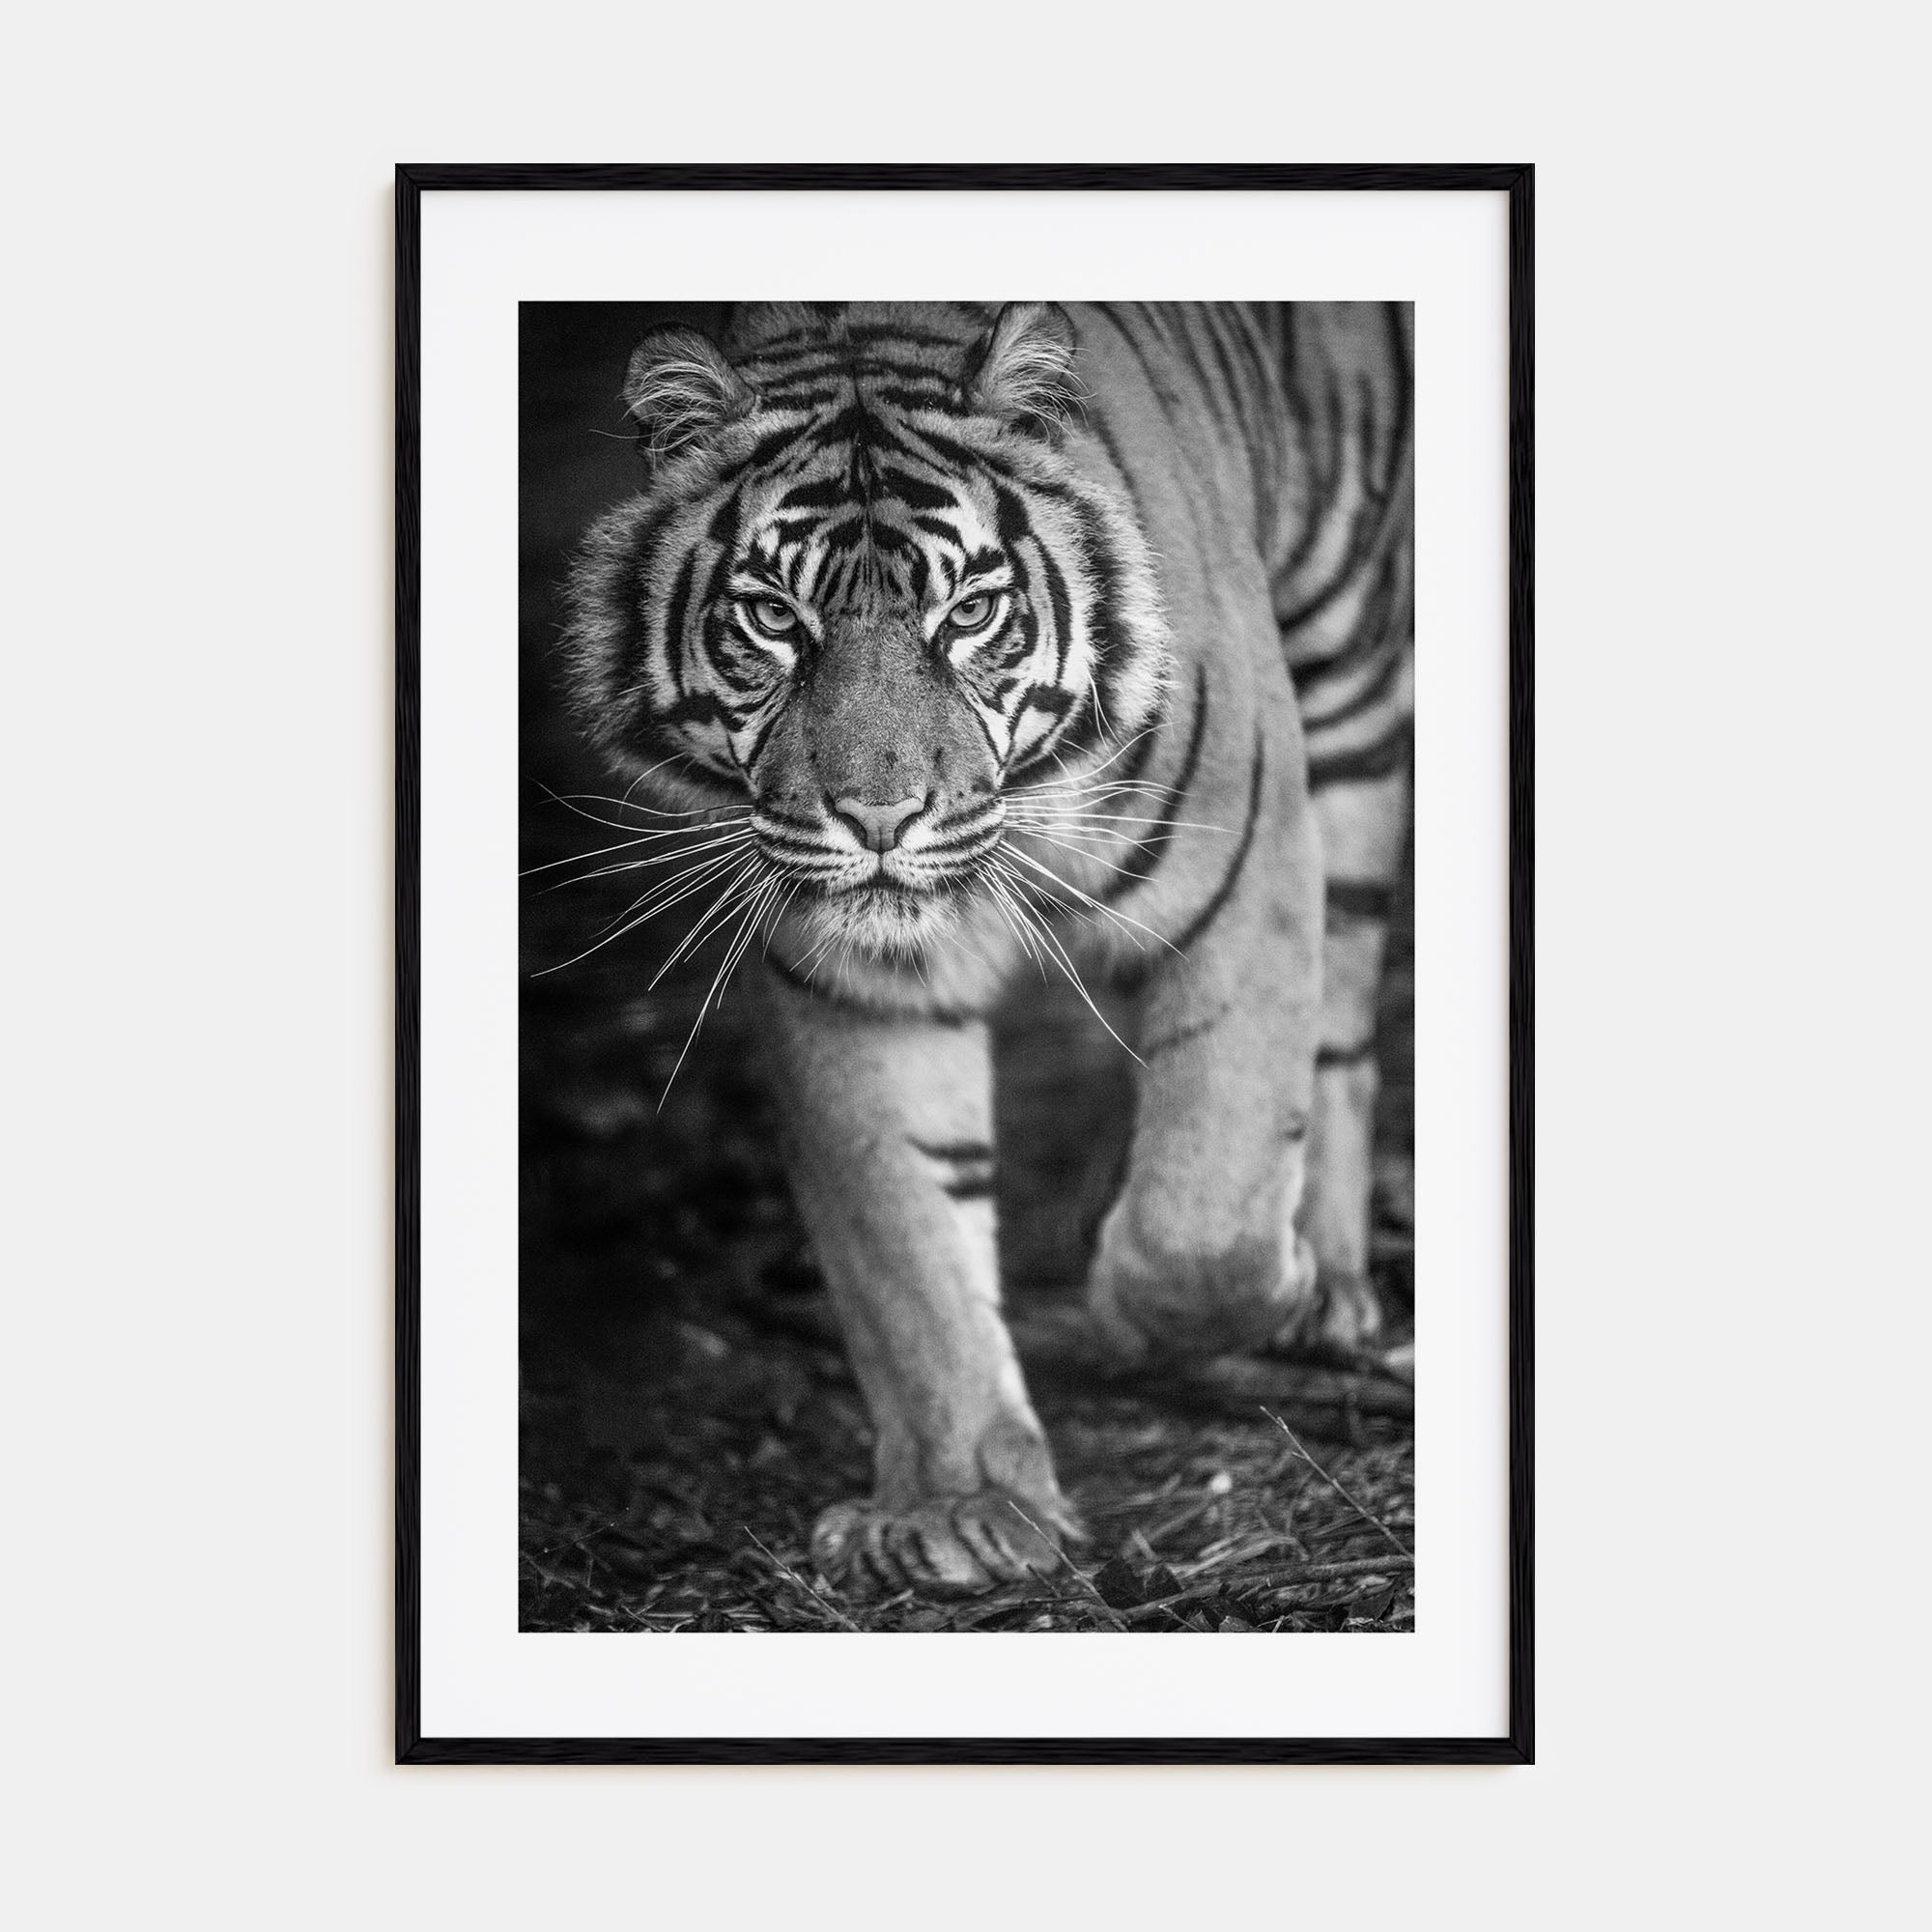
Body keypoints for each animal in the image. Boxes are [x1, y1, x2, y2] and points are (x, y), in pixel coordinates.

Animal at [561, 301, 1413, 1598]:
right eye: (773, 617)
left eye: (967, 613)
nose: (876, 819)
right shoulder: (854, 984)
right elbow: (906, 1242)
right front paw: (959, 1504)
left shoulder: (1246, 857)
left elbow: (1201, 1218)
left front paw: (1234, 1296)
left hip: (1349, 680)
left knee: (1343, 1033)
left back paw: (1324, 1284)